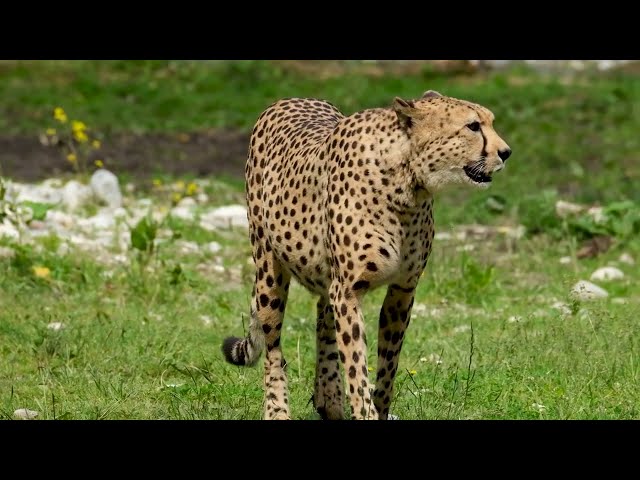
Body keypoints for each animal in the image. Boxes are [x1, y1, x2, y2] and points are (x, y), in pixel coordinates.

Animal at [222, 90, 511, 420]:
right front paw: (364, 409)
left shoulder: (403, 289)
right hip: (268, 271)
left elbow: (388, 362)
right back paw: (278, 410)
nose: (506, 152)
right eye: (473, 126)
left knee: (323, 318)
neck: (407, 185)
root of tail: (291, 99)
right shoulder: (348, 290)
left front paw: (379, 407)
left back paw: (329, 396)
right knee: (273, 347)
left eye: (489, 122)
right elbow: (356, 366)